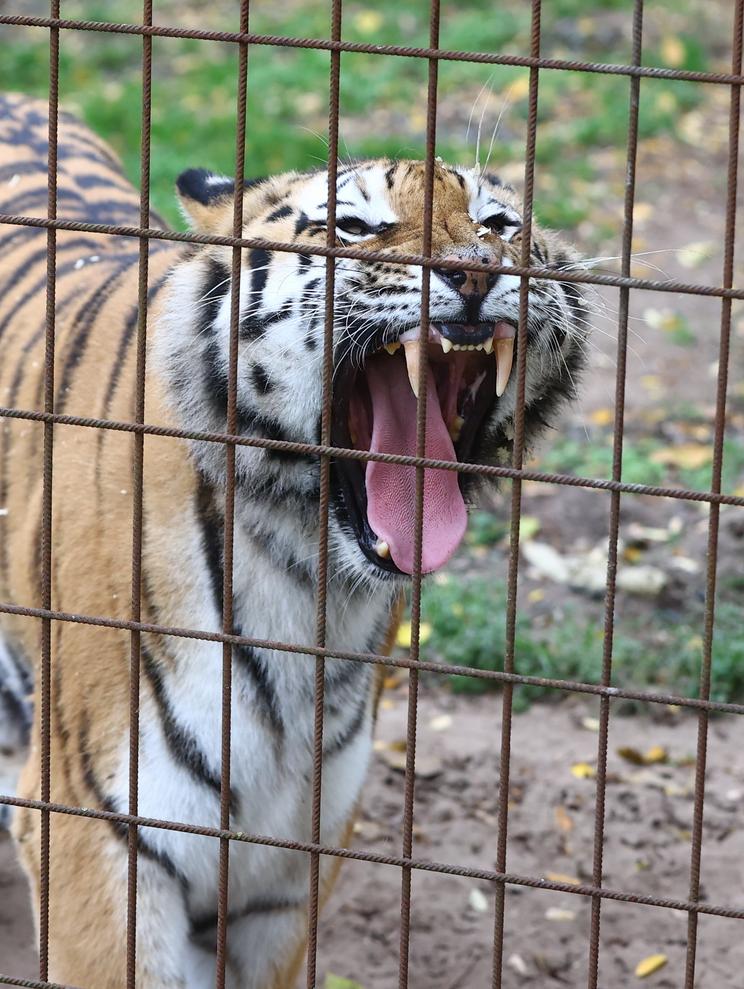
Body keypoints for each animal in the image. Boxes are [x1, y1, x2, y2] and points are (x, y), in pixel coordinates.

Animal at [0, 89, 588, 984]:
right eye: (354, 225)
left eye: (499, 223)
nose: (479, 269)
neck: (307, 578)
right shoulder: (91, 834)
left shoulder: (290, 869)